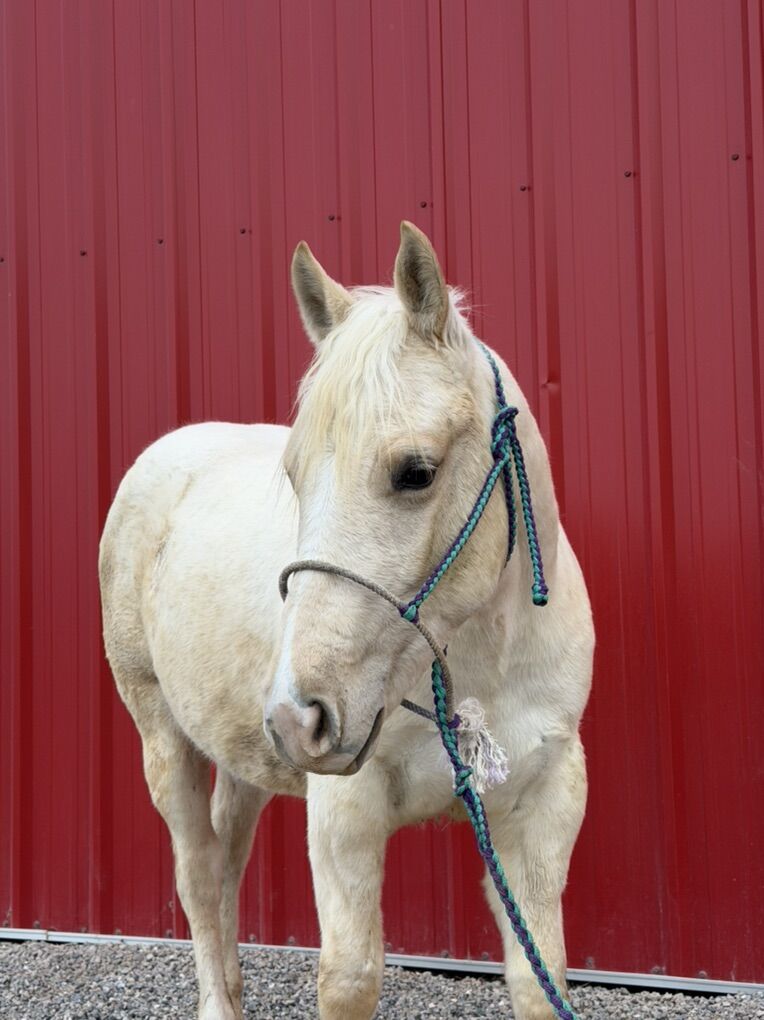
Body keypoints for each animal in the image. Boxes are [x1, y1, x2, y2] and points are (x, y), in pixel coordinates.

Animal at [99, 221, 594, 1020]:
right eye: (294, 475)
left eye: (416, 471)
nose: (301, 717)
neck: (473, 665)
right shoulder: (345, 814)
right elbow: (352, 975)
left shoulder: (544, 802)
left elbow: (538, 973)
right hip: (166, 738)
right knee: (200, 876)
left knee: (227, 859)